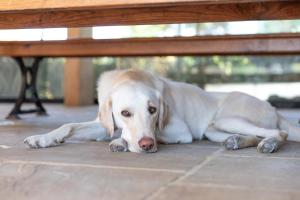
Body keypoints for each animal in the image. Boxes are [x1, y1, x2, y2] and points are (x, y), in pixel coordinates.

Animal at [24, 69, 300, 153]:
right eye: (124, 113)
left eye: (153, 110)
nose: (146, 146)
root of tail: (272, 106)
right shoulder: (104, 123)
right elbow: (68, 125)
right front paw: (43, 138)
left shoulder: (181, 131)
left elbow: (148, 133)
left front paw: (123, 142)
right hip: (214, 130)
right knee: (252, 135)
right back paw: (237, 141)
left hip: (227, 117)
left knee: (278, 133)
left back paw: (270, 144)